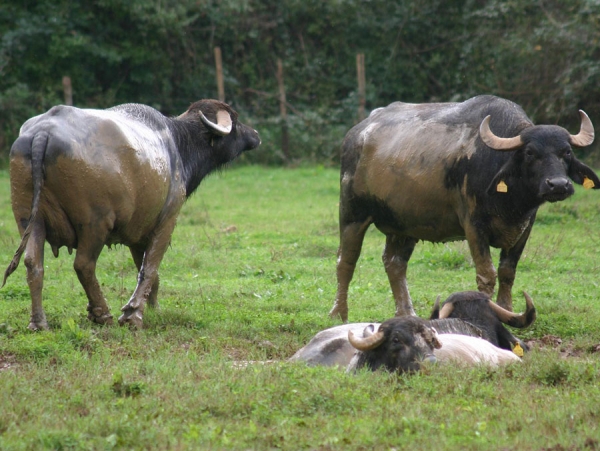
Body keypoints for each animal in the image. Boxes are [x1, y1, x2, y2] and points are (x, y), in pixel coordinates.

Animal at [2, 100, 260, 330]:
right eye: (235, 120)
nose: (255, 135)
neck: (177, 145)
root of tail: (42, 133)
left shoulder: (139, 233)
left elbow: (144, 269)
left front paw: (154, 308)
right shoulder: (166, 221)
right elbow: (150, 268)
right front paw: (132, 315)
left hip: (29, 220)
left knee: (33, 263)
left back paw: (39, 322)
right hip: (95, 224)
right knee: (84, 265)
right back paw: (102, 314)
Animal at [330, 95, 596, 322]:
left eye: (566, 152)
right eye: (530, 152)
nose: (558, 185)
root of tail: (357, 134)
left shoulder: (525, 226)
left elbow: (508, 271)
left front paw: (508, 309)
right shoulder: (474, 226)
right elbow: (487, 274)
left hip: (403, 225)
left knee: (394, 263)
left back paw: (407, 313)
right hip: (352, 213)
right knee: (346, 260)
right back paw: (339, 313)